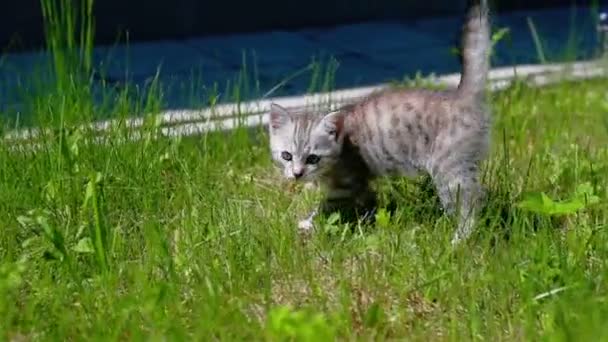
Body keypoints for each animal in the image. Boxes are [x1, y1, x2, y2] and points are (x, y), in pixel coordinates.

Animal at [268, 0, 492, 243]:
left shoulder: (348, 185)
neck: (342, 146)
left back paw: (459, 240)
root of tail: (461, 96)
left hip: (449, 171)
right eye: (286, 156)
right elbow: (369, 202)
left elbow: (327, 206)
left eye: (313, 158)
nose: (297, 174)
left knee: (471, 203)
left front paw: (308, 223)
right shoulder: (361, 185)